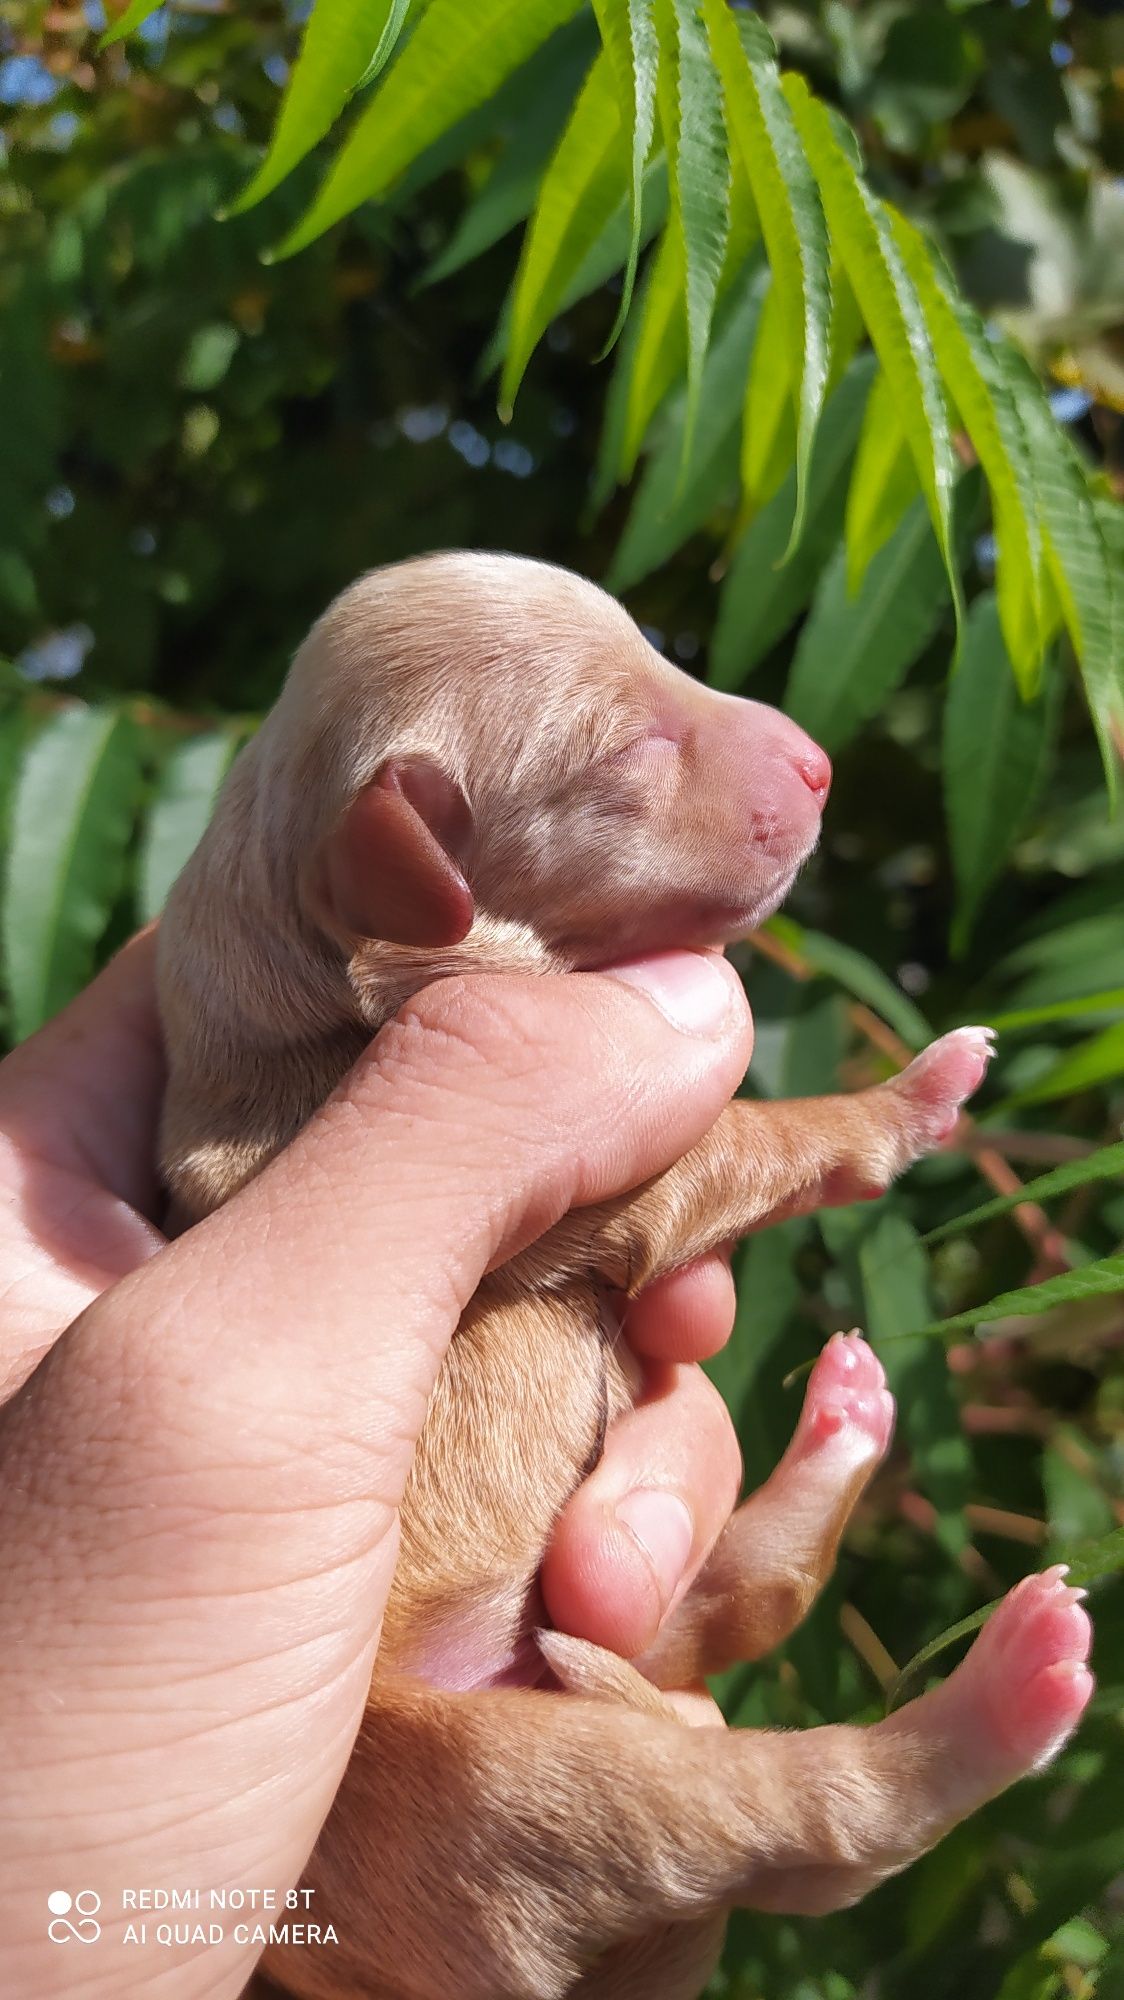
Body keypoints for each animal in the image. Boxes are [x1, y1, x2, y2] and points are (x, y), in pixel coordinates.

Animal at [158, 556, 1088, 2000]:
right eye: (627, 751)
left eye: (663, 651)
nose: (820, 762)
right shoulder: (585, 1173)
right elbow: (751, 1138)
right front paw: (899, 1102)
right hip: (491, 1780)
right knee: (804, 1825)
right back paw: (1009, 1688)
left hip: (595, 1652)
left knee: (729, 1606)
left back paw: (843, 1427)